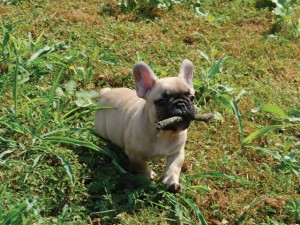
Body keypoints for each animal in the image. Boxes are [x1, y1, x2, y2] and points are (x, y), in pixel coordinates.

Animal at [95, 59, 196, 192]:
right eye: (162, 101)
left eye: (192, 98)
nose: (181, 104)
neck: (163, 133)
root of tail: (105, 92)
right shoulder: (135, 155)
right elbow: (141, 166)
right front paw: (147, 176)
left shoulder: (177, 152)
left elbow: (174, 166)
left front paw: (171, 181)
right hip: (102, 129)